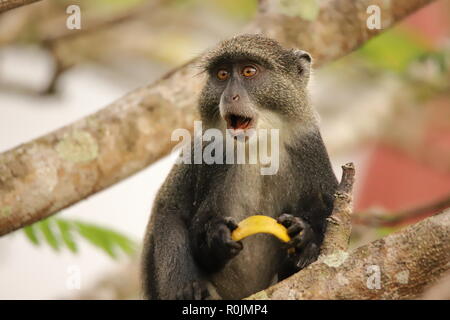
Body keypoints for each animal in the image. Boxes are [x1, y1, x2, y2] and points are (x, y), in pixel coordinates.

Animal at [141, 35, 338, 300]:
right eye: (222, 75)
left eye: (248, 71)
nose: (229, 96)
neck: (259, 144)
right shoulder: (207, 153)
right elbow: (181, 217)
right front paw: (215, 239)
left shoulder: (310, 146)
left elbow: (327, 207)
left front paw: (304, 236)